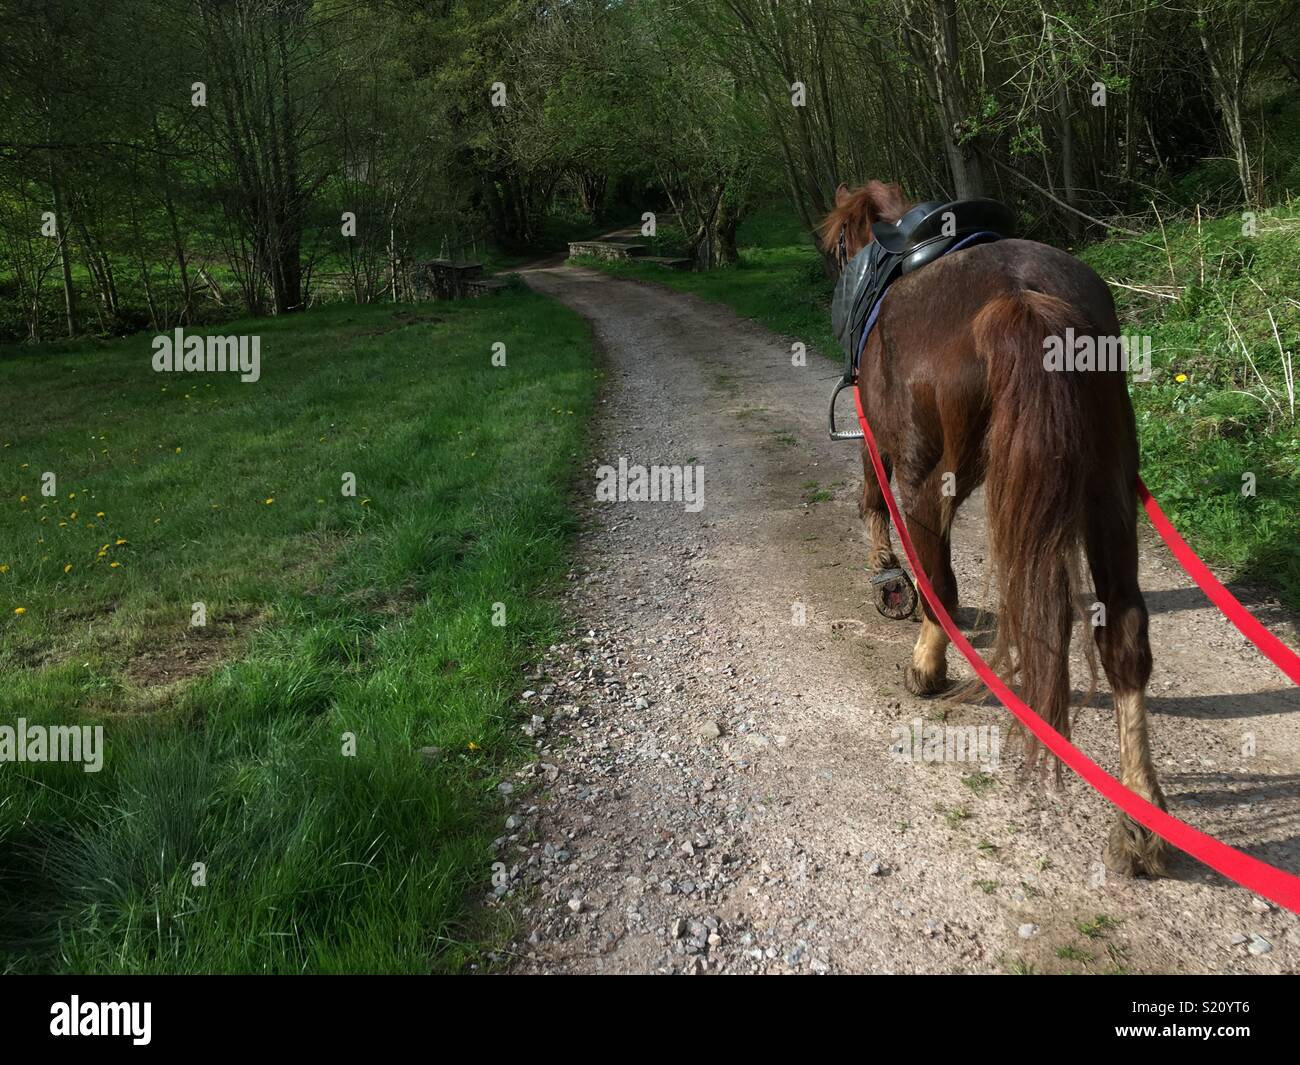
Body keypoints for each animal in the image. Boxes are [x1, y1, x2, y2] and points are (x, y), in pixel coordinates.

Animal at [821, 180, 1166, 877]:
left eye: (838, 244)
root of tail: (1021, 295)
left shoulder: (879, 443)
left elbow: (874, 505)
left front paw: (885, 578)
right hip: (1110, 491)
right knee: (1123, 632)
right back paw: (1139, 817)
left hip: (931, 479)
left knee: (943, 584)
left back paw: (927, 667)